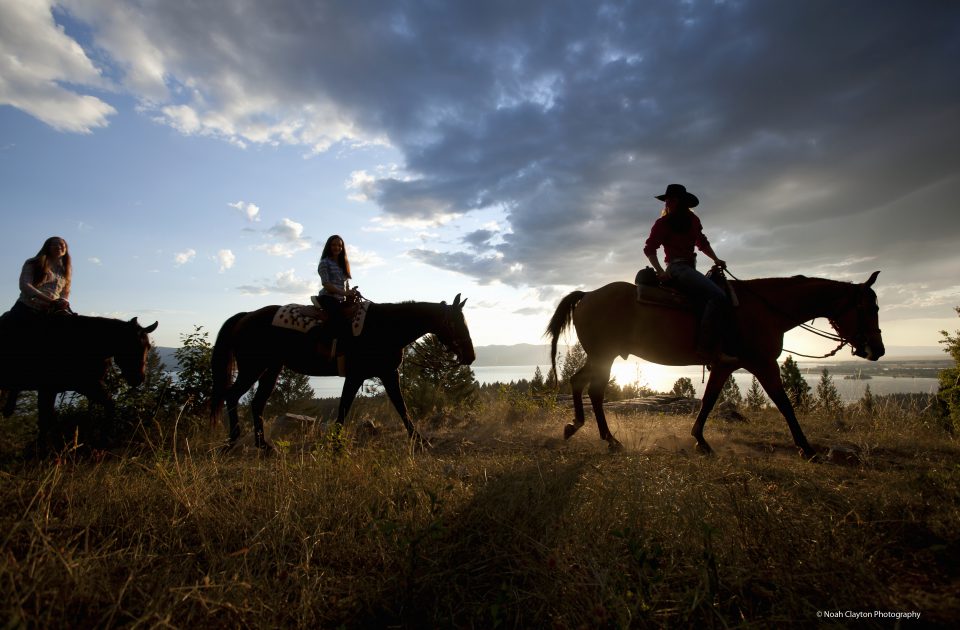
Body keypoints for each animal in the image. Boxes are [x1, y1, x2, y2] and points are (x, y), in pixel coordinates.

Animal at [0, 316, 158, 450]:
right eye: (131, 345)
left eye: (148, 347)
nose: (138, 378)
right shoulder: (47, 389)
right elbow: (46, 419)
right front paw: (45, 450)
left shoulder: (87, 386)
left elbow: (109, 406)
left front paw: (105, 439)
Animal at [213, 296, 476, 450]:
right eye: (457, 323)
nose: (471, 356)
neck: (386, 328)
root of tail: (246, 316)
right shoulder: (356, 375)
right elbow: (344, 407)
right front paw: (336, 443)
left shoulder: (388, 373)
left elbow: (401, 406)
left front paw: (419, 439)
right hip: (253, 368)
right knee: (233, 396)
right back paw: (233, 440)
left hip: (271, 369)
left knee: (256, 402)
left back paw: (263, 446)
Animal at [548, 272, 884, 460]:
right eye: (870, 308)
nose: (878, 350)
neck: (763, 310)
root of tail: (587, 296)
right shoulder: (763, 364)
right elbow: (785, 403)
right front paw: (807, 448)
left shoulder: (724, 366)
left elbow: (709, 400)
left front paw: (700, 440)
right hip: (603, 356)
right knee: (594, 390)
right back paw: (609, 439)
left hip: (600, 356)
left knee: (579, 383)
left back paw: (578, 427)